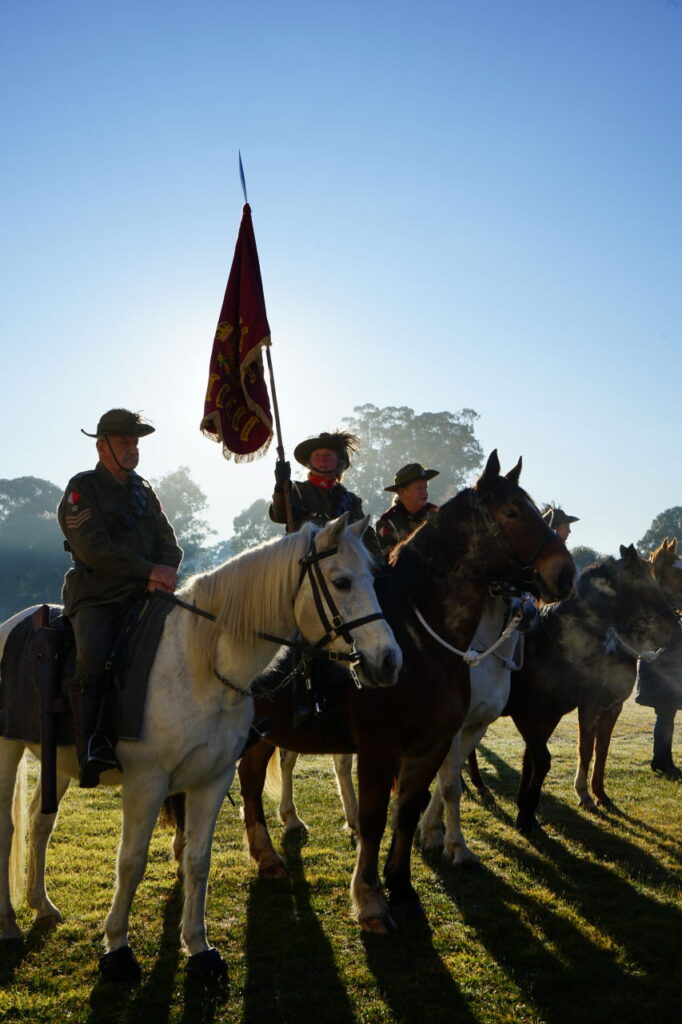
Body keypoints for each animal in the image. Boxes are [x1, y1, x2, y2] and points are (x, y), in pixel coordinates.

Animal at [0, 516, 399, 978]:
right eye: (342, 582)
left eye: (372, 578)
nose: (389, 660)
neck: (201, 664)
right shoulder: (147, 783)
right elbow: (131, 861)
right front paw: (117, 947)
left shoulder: (212, 779)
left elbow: (197, 860)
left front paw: (198, 947)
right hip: (7, 752)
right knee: (8, 828)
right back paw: (9, 925)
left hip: (59, 765)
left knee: (40, 822)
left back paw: (41, 905)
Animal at [232, 452, 573, 933]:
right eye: (511, 512)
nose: (565, 574)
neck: (421, 642)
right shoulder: (379, 748)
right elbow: (376, 817)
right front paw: (370, 899)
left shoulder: (432, 745)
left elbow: (410, 810)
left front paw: (404, 888)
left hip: (266, 731)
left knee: (252, 777)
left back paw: (267, 853)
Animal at [503, 544, 679, 831]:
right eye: (646, 587)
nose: (676, 630)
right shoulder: (547, 711)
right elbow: (564, 753)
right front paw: (580, 796)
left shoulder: (599, 708)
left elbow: (594, 750)